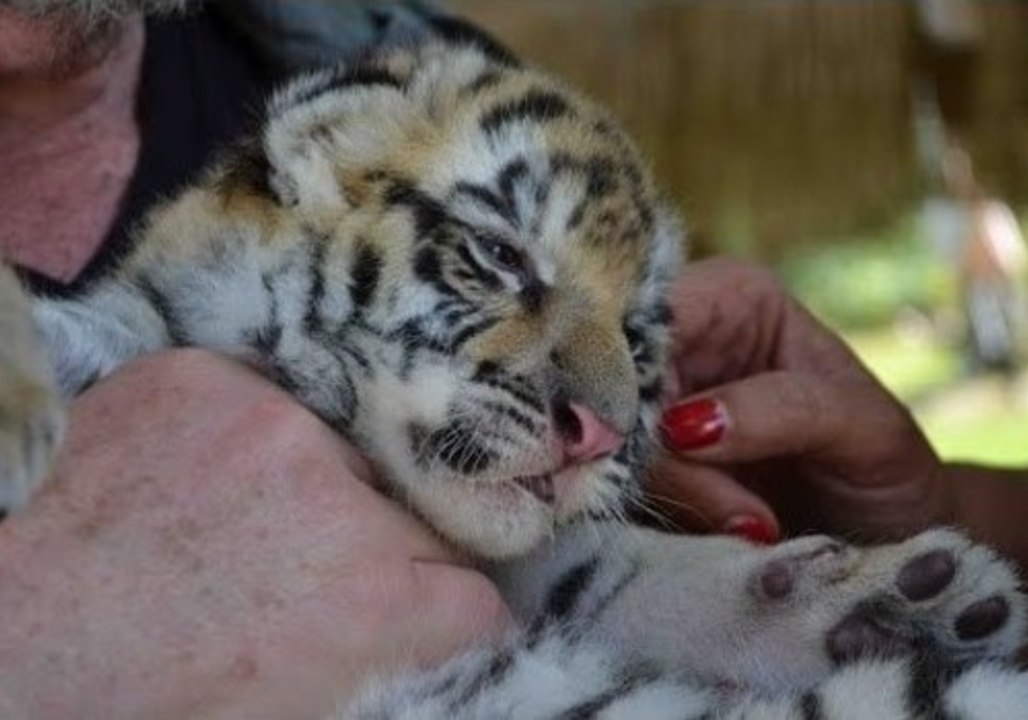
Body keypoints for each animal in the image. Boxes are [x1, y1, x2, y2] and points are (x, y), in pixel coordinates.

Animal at [1, 36, 1027, 720]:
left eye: (636, 337)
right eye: (500, 257)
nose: (601, 433)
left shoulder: (535, 563)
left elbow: (614, 569)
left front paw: (916, 599)